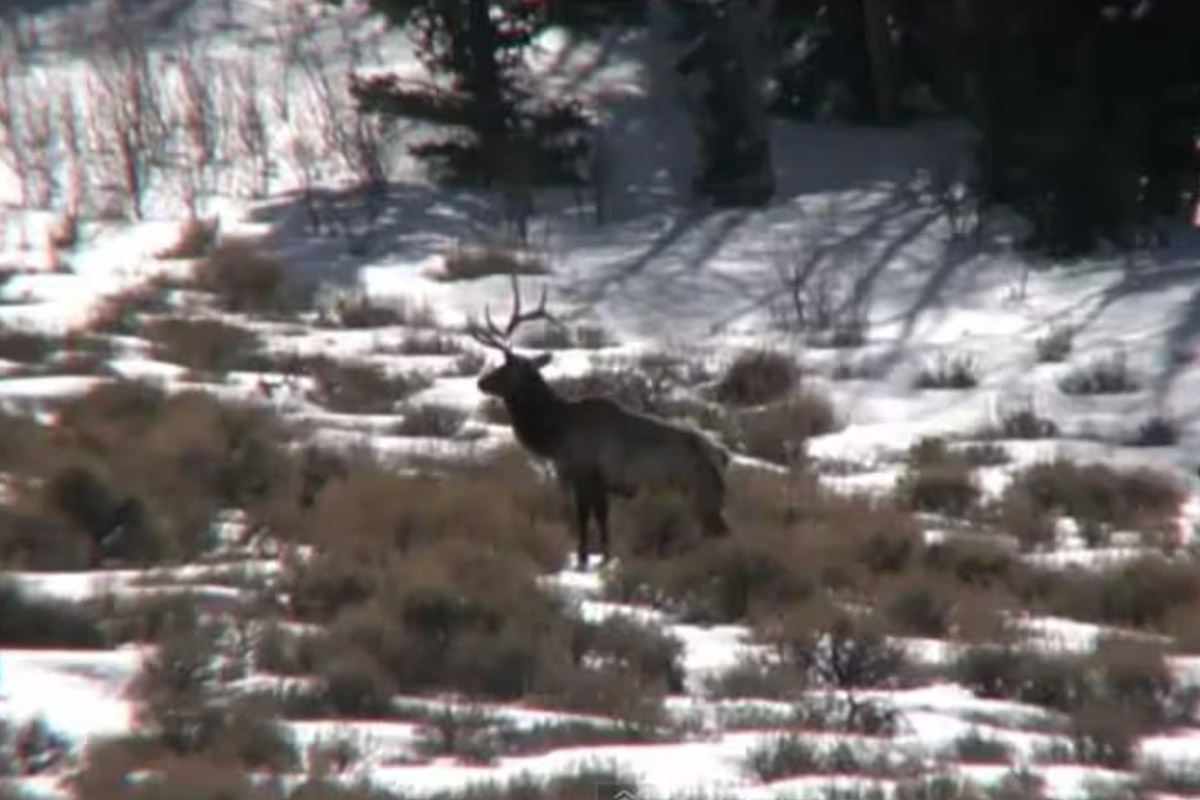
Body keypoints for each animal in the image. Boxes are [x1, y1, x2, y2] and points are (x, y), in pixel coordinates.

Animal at [468, 275, 729, 568]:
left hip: (697, 493)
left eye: (507, 368)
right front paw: (603, 555)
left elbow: (585, 518)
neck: (556, 434)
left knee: (713, 532)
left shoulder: (585, 473)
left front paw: (585, 558)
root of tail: (722, 457)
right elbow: (602, 518)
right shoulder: (598, 483)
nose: (481, 382)